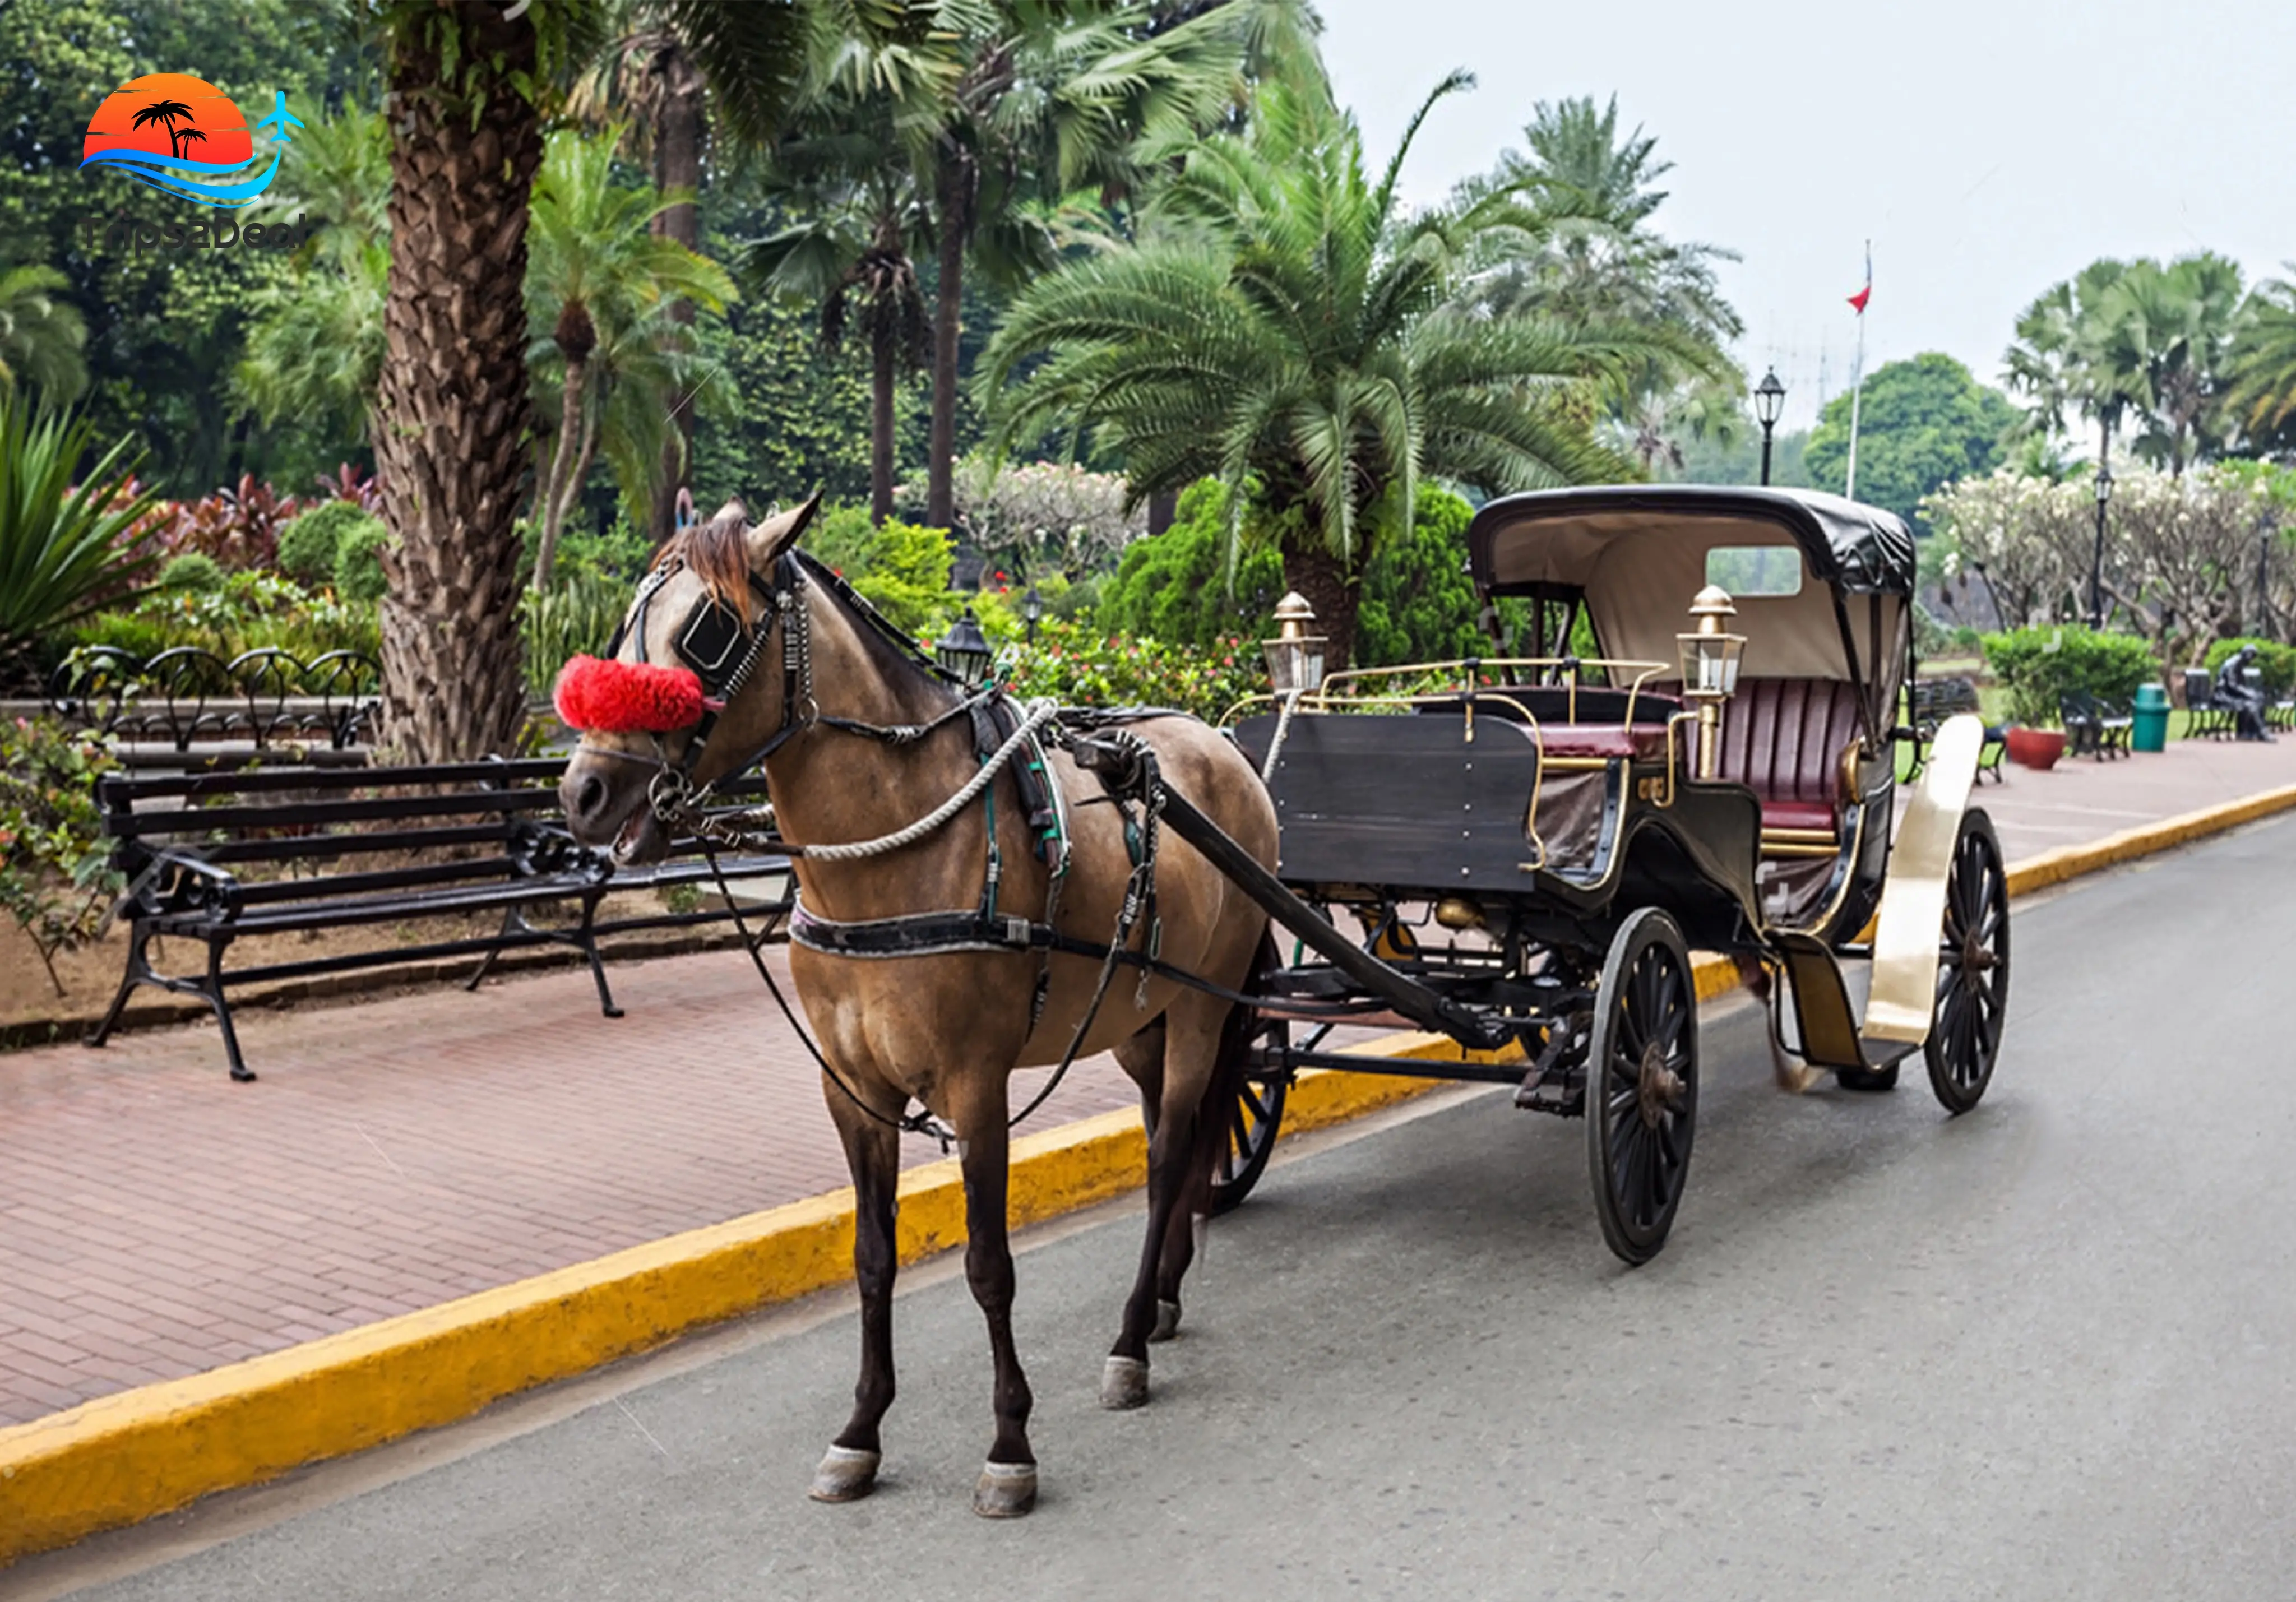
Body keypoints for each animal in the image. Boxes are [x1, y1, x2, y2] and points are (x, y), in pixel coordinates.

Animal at [556, 497, 1278, 1518]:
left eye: (708, 629)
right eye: (625, 621)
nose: (583, 790)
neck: (892, 848)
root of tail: (1222, 747)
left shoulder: (976, 1085)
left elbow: (987, 1265)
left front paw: (1010, 1443)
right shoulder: (852, 1088)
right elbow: (871, 1257)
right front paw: (860, 1431)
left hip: (1204, 1012)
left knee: (1175, 1151)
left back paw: (1132, 1336)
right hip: (1143, 1014)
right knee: (1160, 1152)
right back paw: (1165, 1296)